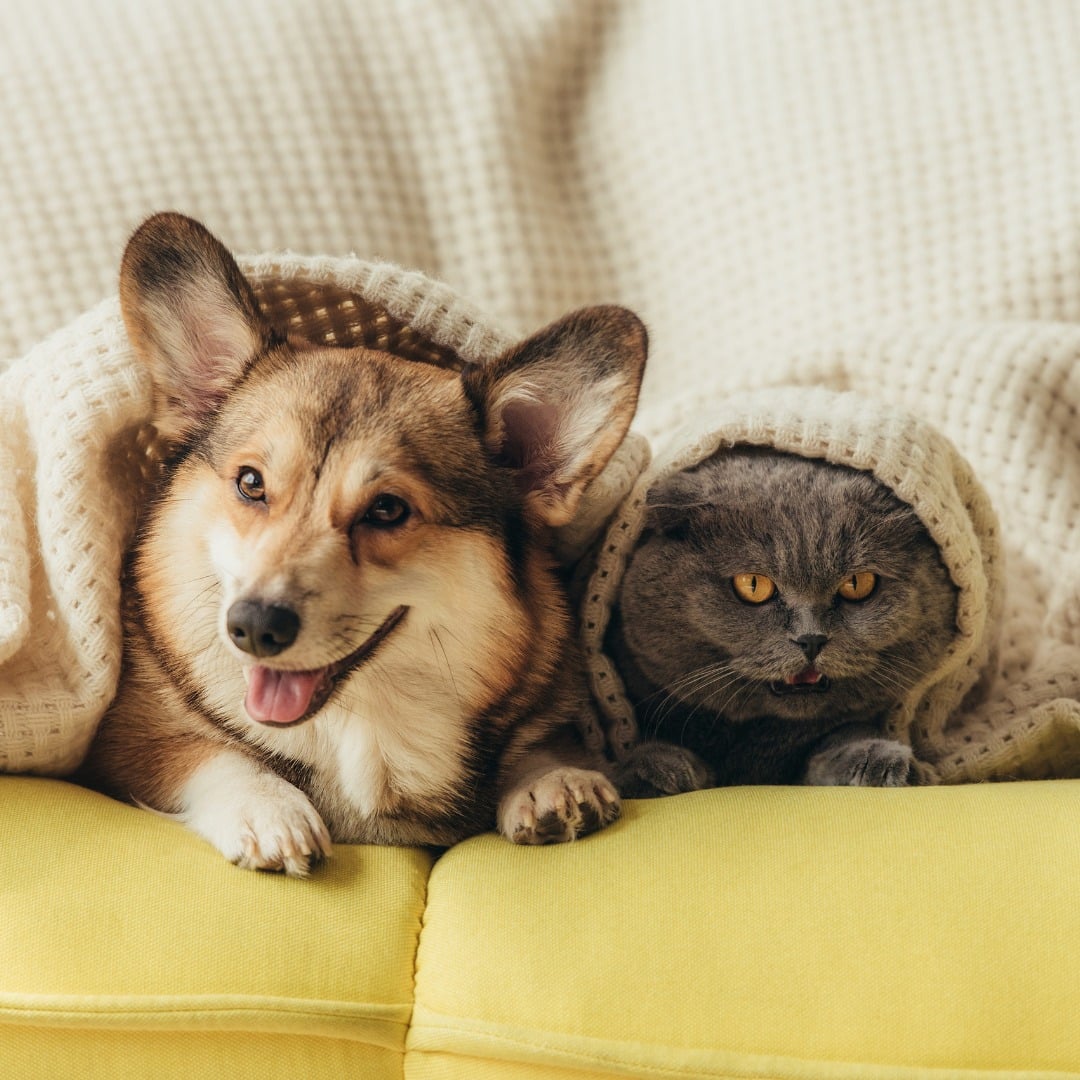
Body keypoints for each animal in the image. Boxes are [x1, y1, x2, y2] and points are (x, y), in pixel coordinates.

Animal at [82, 212, 648, 876]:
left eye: (387, 510)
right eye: (251, 483)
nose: (252, 627)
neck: (362, 727)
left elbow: (545, 743)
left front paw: (553, 779)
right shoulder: (126, 739)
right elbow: (207, 753)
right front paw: (269, 809)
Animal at [604, 444, 959, 794]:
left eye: (858, 584)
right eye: (752, 584)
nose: (811, 639)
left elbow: (843, 732)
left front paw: (880, 758)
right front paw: (655, 769)